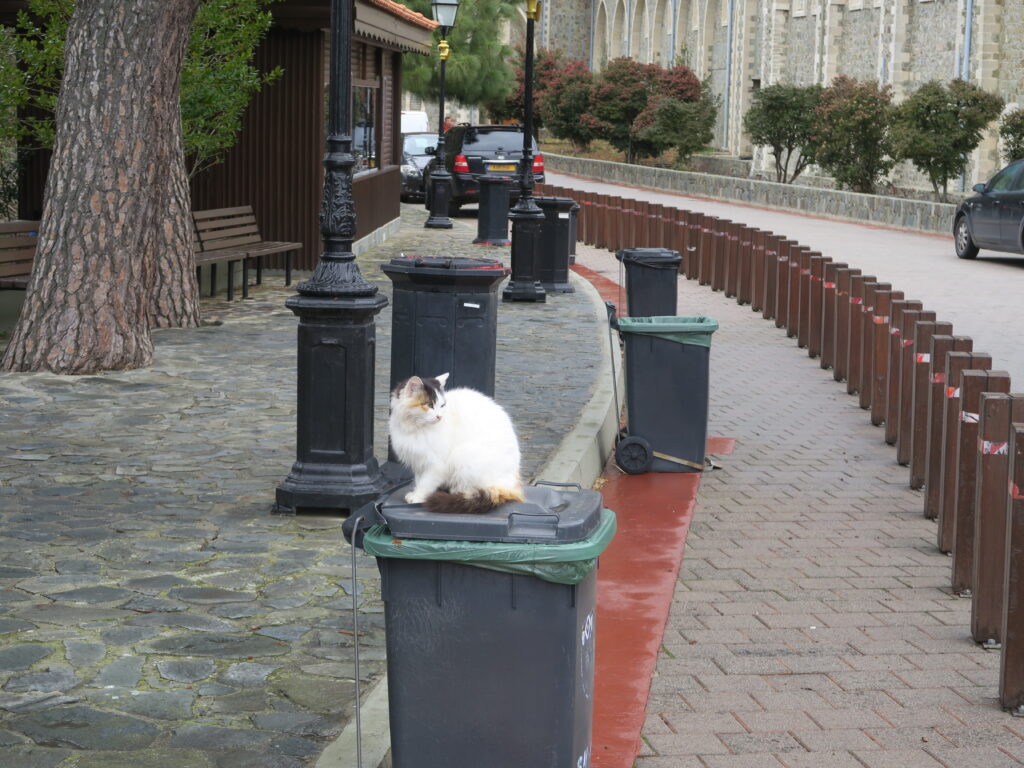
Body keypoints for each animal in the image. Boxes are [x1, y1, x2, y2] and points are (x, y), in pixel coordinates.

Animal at [389, 373, 525, 515]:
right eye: (429, 404)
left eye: (442, 405)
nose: (440, 417)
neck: (415, 428)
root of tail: (511, 483)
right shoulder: (419, 461)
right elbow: (419, 480)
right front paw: (416, 493)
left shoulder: (436, 464)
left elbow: (426, 483)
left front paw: (418, 496)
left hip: (463, 456)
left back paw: (457, 491)